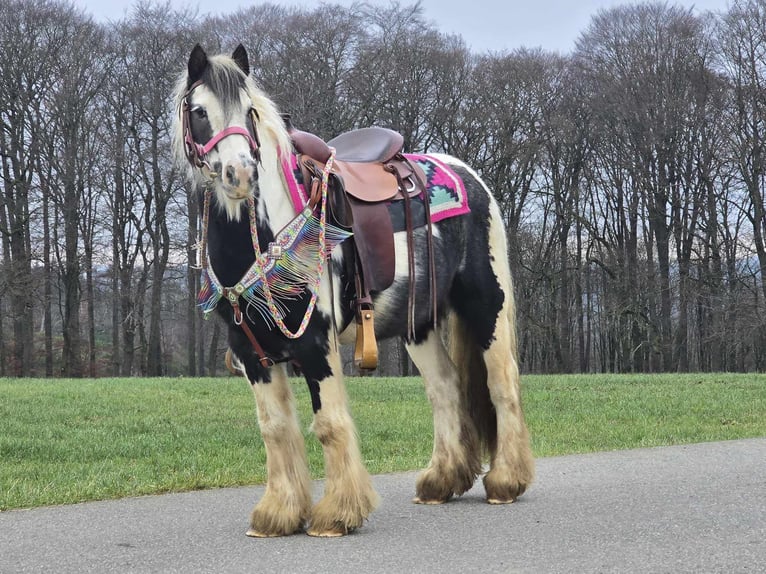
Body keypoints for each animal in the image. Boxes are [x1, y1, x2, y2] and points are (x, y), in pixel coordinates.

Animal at [172, 44, 536, 540]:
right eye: (198, 112)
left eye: (249, 112)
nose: (239, 174)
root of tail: (466, 175)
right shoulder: (251, 351)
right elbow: (275, 428)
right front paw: (278, 514)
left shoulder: (315, 342)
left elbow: (328, 423)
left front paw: (337, 514)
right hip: (418, 323)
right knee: (445, 388)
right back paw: (440, 481)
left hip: (486, 306)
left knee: (502, 383)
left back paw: (505, 481)